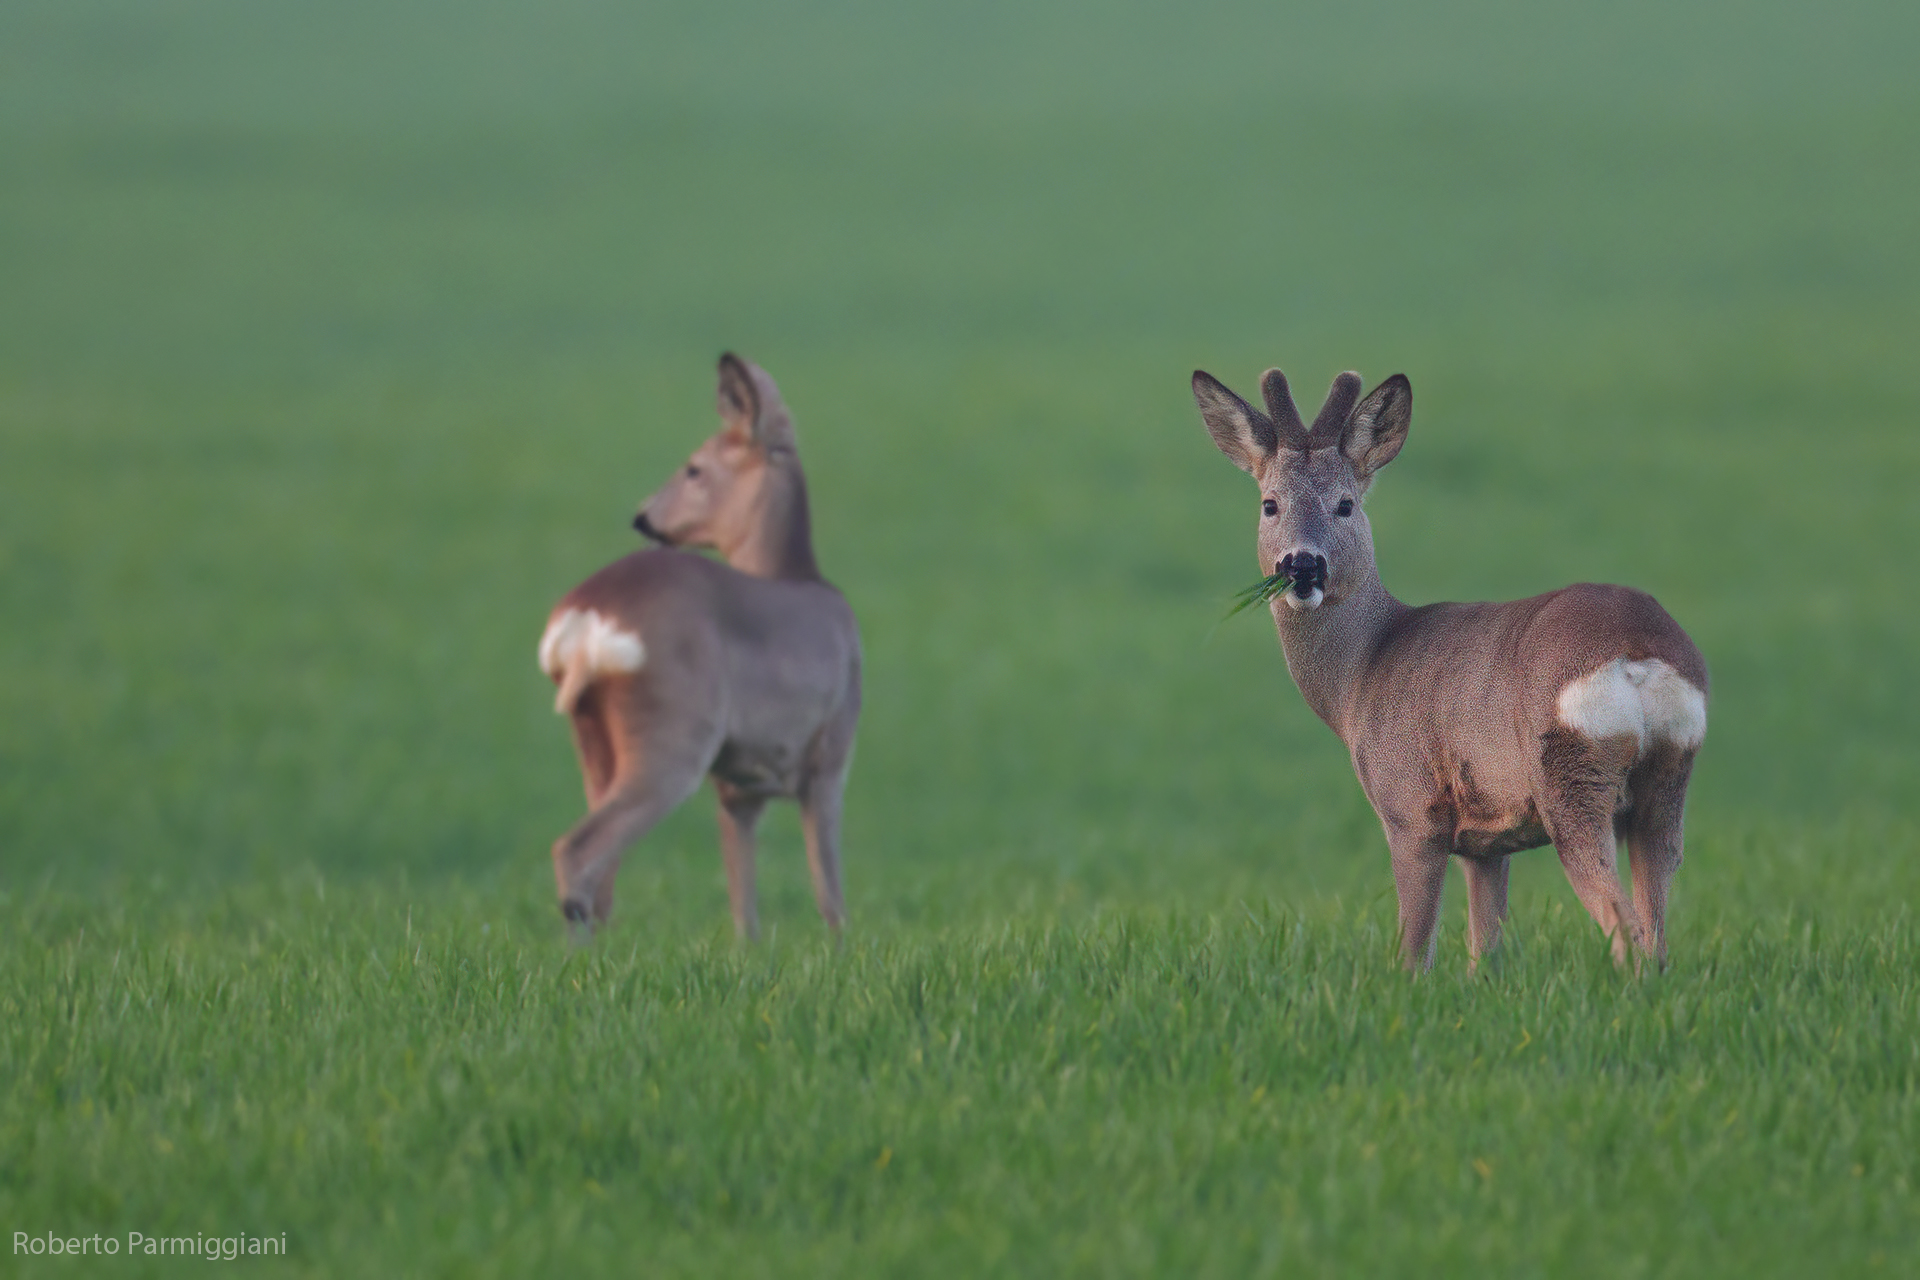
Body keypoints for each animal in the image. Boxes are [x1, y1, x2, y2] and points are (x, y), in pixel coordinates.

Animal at [537, 354, 860, 939]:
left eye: (693, 468)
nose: (642, 516)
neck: (800, 577)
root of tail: (585, 621)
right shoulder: (832, 750)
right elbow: (830, 893)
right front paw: (846, 951)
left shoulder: (738, 787)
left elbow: (743, 904)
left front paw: (750, 952)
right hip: (673, 733)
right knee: (577, 850)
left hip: (592, 735)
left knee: (602, 879)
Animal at [1192, 364, 1707, 972]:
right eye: (1269, 504)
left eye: (1345, 504)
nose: (1301, 565)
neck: (1363, 672)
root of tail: (1638, 656)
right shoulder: (1487, 839)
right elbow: (1486, 952)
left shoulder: (1411, 808)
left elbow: (1415, 950)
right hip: (1667, 783)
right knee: (1657, 933)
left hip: (1571, 779)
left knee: (1625, 928)